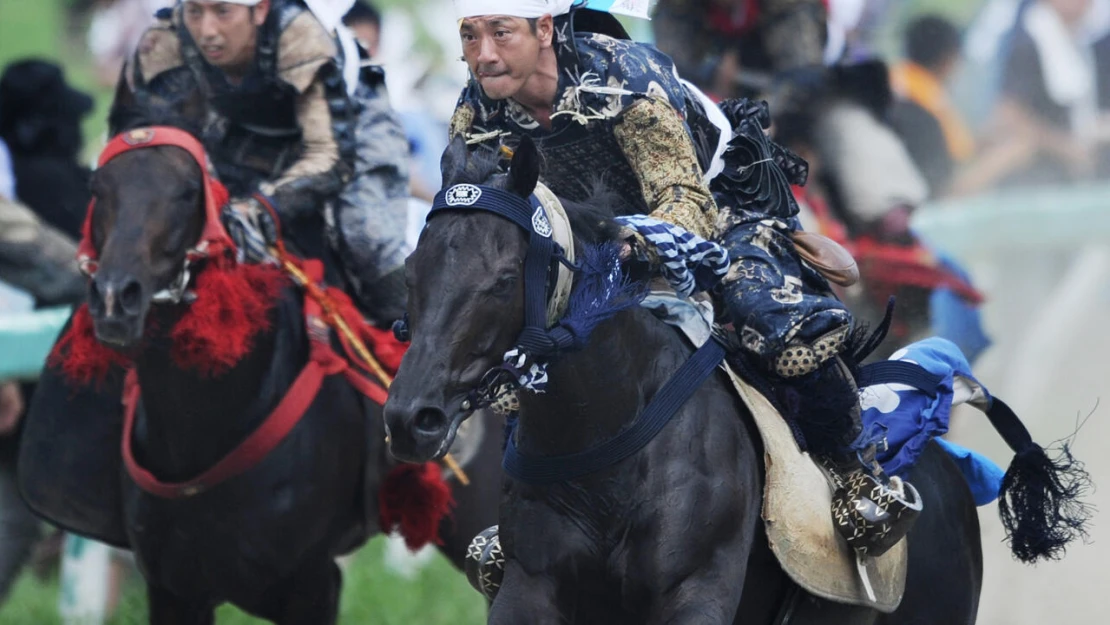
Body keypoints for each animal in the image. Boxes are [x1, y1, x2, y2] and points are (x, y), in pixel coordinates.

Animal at [381, 135, 1083, 621]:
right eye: (411, 272)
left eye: (502, 279)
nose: (412, 418)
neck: (607, 448)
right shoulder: (531, 589)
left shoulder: (694, 592)